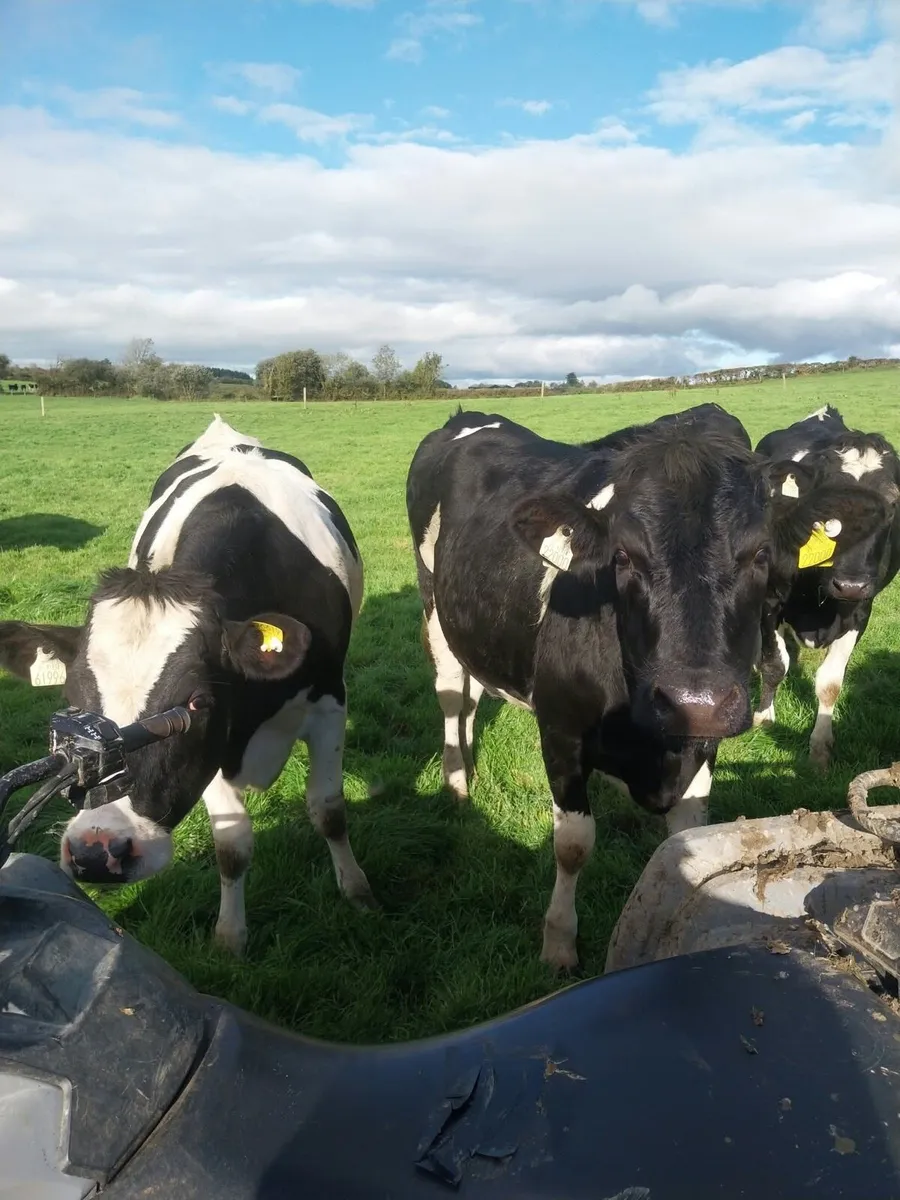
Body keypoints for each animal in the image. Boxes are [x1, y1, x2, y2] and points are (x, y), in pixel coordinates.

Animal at [0, 415, 375, 954]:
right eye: (70, 701)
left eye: (197, 702)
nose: (96, 851)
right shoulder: (215, 749)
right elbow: (232, 844)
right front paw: (231, 937)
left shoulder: (327, 705)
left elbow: (329, 810)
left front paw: (357, 889)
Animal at [406, 404, 850, 970]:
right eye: (622, 556)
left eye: (760, 554)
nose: (696, 702)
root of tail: (473, 416)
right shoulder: (560, 732)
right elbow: (572, 844)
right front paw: (559, 943)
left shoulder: (700, 744)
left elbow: (685, 837)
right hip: (434, 608)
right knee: (450, 692)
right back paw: (458, 781)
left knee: (473, 693)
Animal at [753, 404, 900, 767]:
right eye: (826, 502)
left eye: (892, 504)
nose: (849, 584)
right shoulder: (768, 602)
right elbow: (773, 664)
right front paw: (763, 719)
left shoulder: (860, 610)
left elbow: (830, 682)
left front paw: (820, 748)